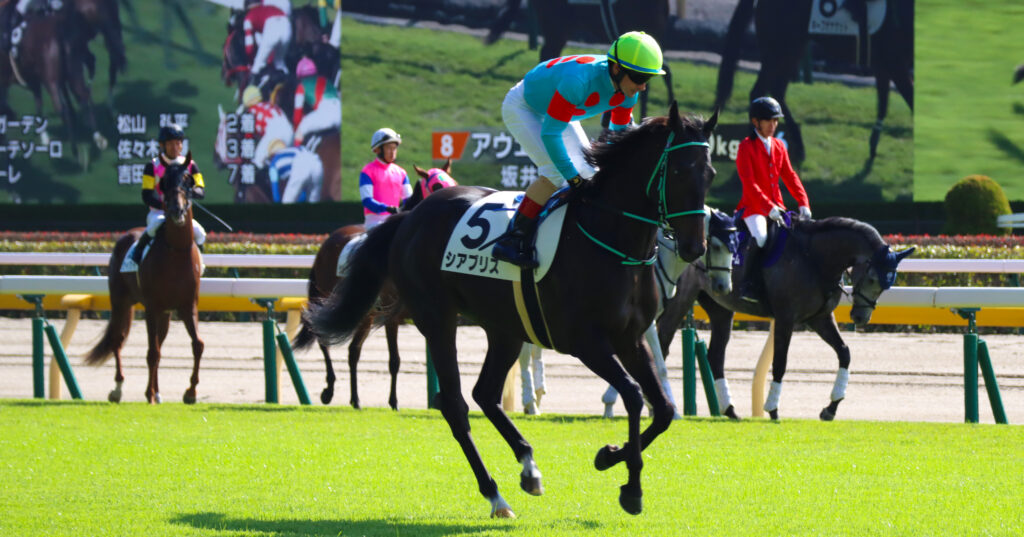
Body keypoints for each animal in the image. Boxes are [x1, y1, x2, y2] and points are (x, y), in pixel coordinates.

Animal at [84, 153, 204, 405]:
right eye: (164, 182)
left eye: (187, 180)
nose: (176, 210)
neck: (176, 252)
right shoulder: (152, 306)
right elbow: (152, 352)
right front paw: (148, 394)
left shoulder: (188, 306)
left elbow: (197, 345)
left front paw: (190, 392)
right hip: (120, 301)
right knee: (118, 339)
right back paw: (119, 388)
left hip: (164, 314)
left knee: (158, 342)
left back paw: (157, 392)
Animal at [292, 160, 456, 408]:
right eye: (436, 185)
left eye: (452, 181)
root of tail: (326, 244)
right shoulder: (392, 317)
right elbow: (395, 360)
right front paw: (394, 402)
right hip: (331, 301)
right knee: (323, 339)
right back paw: (329, 390)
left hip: (365, 315)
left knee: (353, 352)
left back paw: (355, 399)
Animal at [657, 215, 913, 421]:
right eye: (871, 279)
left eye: (887, 285)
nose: (860, 317)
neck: (814, 258)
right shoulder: (785, 319)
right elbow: (780, 361)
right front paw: (772, 408)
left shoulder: (820, 318)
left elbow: (844, 353)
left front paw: (831, 408)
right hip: (680, 301)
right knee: (662, 345)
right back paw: (661, 406)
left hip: (721, 308)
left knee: (715, 356)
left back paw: (729, 410)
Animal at [714, 0, 913, 163]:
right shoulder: (895, 63)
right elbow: (909, 99)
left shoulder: (885, 65)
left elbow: (884, 102)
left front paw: (873, 146)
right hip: (779, 51)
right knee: (763, 91)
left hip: (789, 51)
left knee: (771, 91)